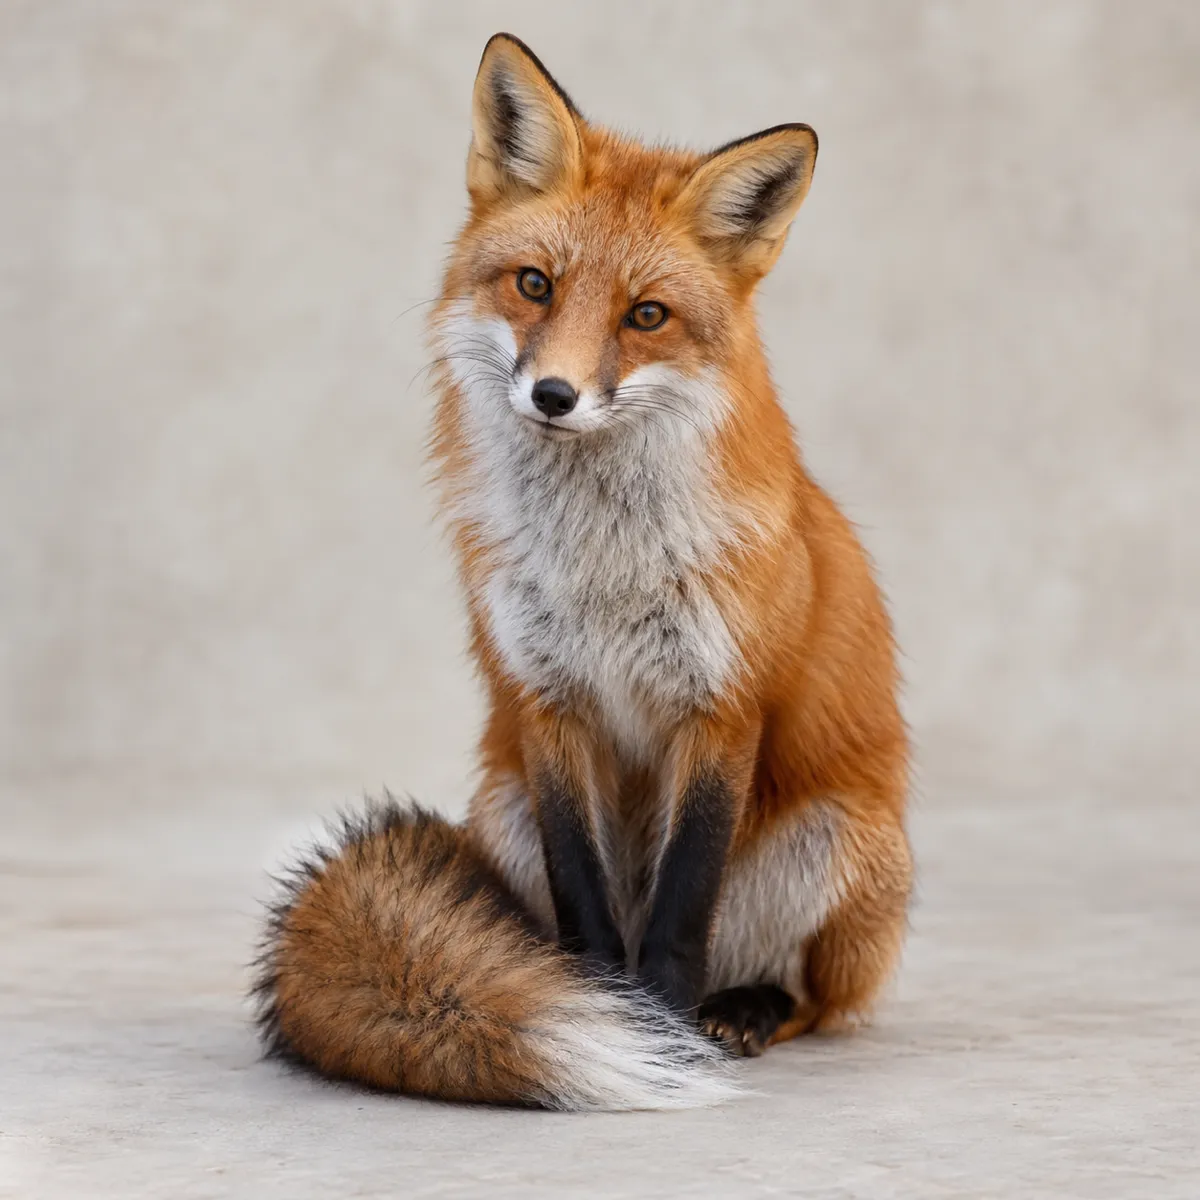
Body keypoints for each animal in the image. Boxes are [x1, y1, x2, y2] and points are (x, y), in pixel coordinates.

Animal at [253, 33, 912, 1111]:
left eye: (646, 314)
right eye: (534, 285)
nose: (554, 395)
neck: (604, 567)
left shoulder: (720, 707)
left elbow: (683, 904)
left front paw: (667, 1031)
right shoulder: (546, 702)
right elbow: (587, 904)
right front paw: (613, 1013)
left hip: (840, 839)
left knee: (814, 995)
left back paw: (744, 1008)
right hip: (504, 808)